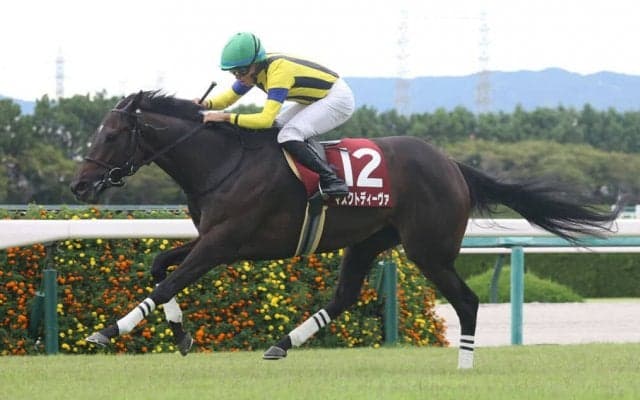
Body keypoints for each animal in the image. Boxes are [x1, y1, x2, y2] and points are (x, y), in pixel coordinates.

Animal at [70, 91, 619, 369]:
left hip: (429, 249)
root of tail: (452, 165)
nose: (79, 184)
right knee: (344, 296)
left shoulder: (224, 243)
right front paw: (181, 334)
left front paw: (105, 331)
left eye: (112, 135)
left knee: (466, 300)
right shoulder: (212, 239)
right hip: (369, 241)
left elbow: (167, 282)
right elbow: (158, 266)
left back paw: (464, 365)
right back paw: (282, 343)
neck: (225, 162)